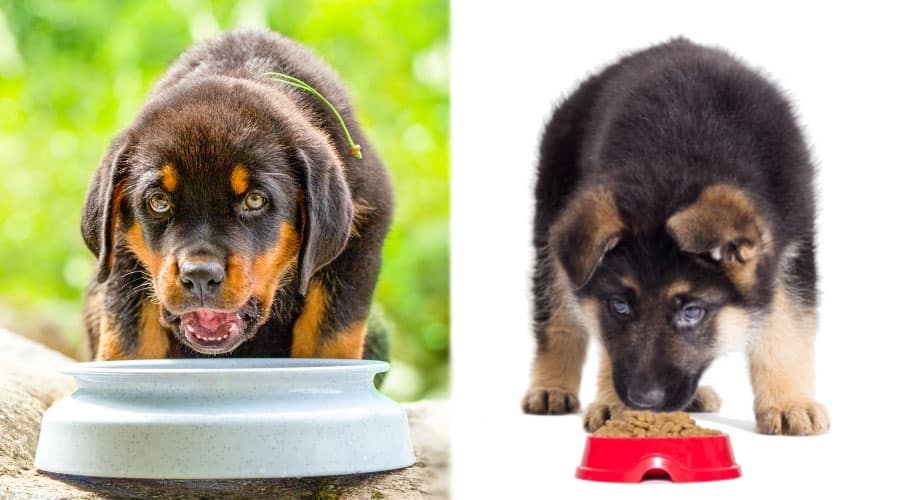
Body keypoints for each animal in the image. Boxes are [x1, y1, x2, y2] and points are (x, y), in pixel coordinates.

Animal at [82, 30, 392, 360]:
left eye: (255, 200)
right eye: (158, 202)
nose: (200, 276)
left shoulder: (356, 242)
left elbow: (329, 343)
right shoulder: (123, 263)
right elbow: (127, 348)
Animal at [528, 39, 828, 436]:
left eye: (692, 312)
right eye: (619, 306)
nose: (643, 400)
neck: (680, 165)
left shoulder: (793, 248)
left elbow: (788, 327)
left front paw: (789, 403)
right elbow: (609, 344)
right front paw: (615, 408)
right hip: (551, 222)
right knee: (556, 315)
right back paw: (550, 387)